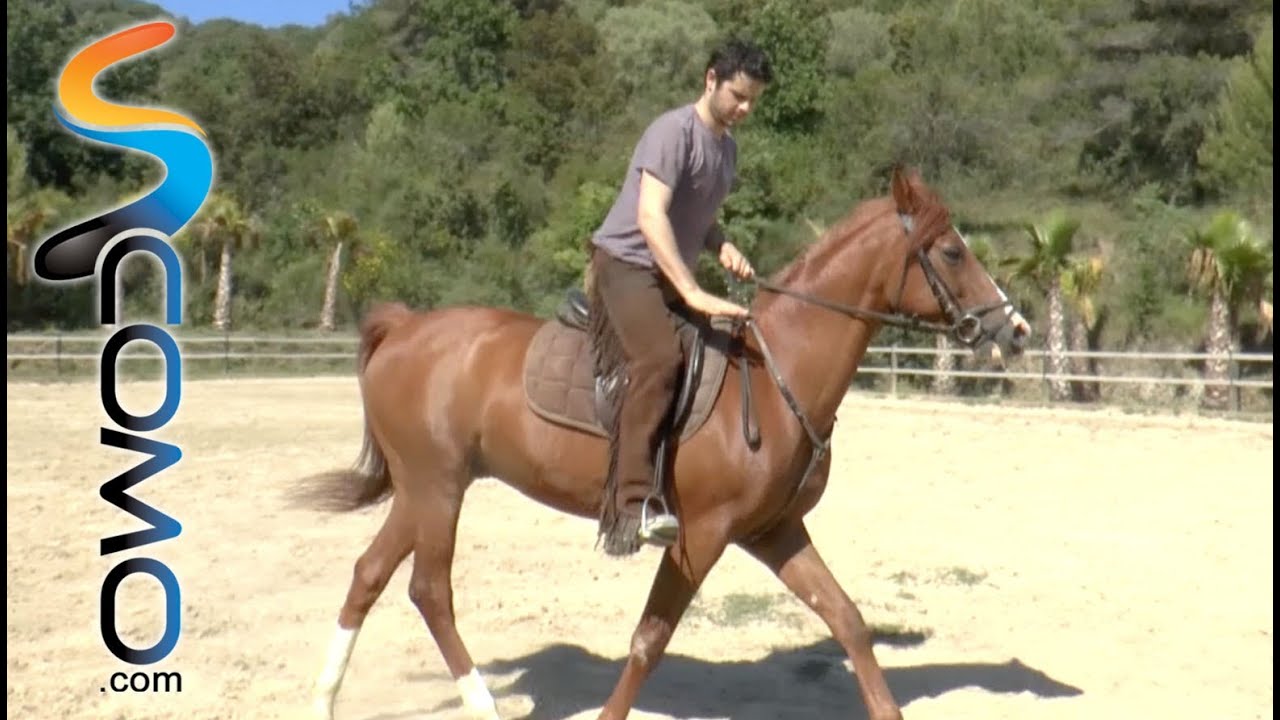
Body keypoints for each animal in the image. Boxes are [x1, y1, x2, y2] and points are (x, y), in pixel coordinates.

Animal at [293, 166, 1030, 720]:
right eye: (952, 252)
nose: (1016, 329)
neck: (774, 375)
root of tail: (405, 328)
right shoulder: (700, 534)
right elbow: (650, 639)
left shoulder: (774, 530)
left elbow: (846, 619)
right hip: (439, 488)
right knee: (429, 591)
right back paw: (482, 705)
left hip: (423, 490)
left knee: (369, 575)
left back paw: (323, 701)